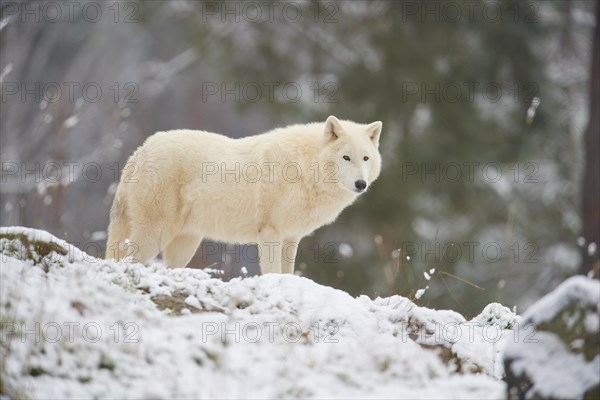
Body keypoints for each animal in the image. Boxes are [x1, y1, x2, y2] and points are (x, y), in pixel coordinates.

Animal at [105, 114, 382, 274]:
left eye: (365, 158)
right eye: (346, 157)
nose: (361, 184)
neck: (305, 167)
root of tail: (141, 150)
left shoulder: (291, 238)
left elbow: (287, 273)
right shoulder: (270, 234)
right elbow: (272, 273)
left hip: (184, 244)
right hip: (156, 235)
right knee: (126, 262)